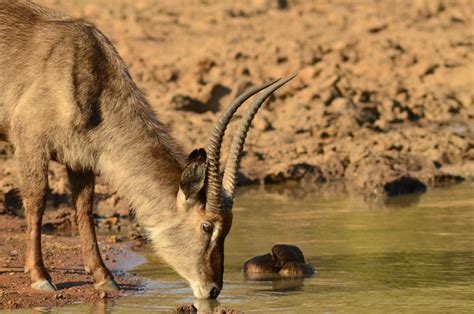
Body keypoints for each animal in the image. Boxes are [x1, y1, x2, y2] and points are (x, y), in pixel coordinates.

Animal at [0, 0, 294, 300]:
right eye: (207, 225)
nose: (212, 290)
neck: (85, 74)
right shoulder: (30, 143)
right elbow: (37, 201)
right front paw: (40, 277)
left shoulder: (79, 161)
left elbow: (84, 208)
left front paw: (104, 277)